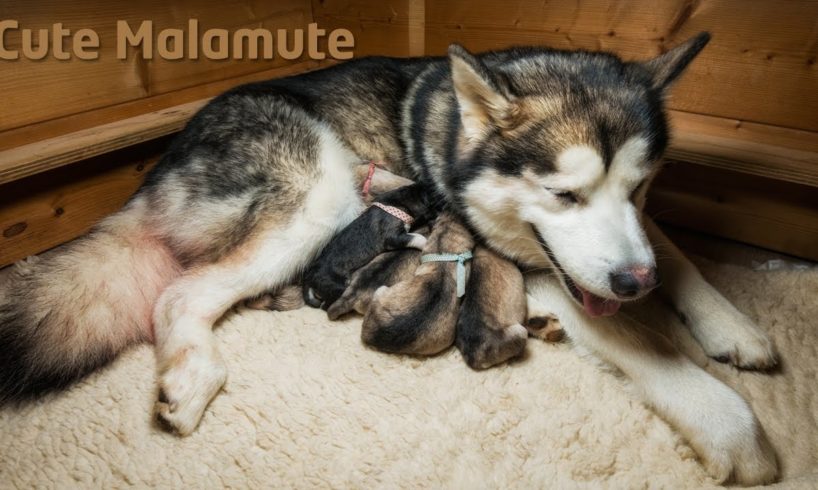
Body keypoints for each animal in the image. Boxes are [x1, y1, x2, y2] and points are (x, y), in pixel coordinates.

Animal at [302, 184, 434, 310]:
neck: (398, 202)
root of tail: (309, 278)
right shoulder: (392, 236)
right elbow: (416, 237)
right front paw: (426, 243)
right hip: (337, 285)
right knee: (325, 304)